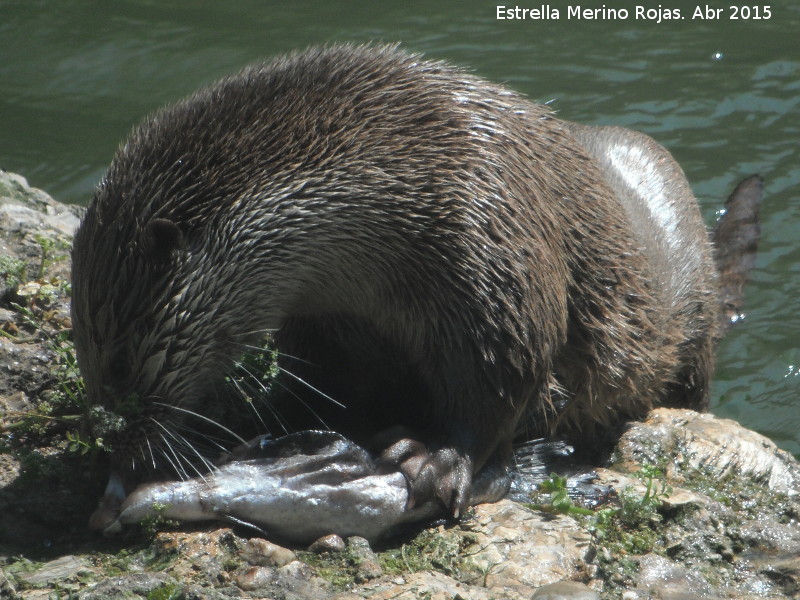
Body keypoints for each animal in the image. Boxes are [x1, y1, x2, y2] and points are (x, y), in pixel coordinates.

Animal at [73, 44, 724, 516]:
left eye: (120, 364)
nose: (113, 451)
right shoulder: (325, 321)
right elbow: (332, 389)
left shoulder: (493, 252)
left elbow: (499, 386)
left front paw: (436, 460)